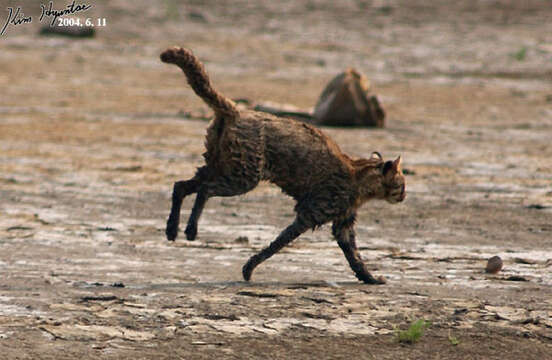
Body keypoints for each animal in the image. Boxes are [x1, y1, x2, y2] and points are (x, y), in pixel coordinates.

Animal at [161, 47, 406, 284]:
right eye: (402, 185)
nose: (404, 196)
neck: (362, 182)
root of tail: (237, 110)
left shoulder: (342, 225)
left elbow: (354, 257)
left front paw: (370, 278)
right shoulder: (309, 214)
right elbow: (278, 243)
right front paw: (249, 268)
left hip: (219, 166)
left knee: (180, 185)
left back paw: (172, 229)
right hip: (243, 177)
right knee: (204, 190)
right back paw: (190, 229)